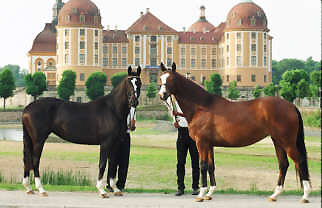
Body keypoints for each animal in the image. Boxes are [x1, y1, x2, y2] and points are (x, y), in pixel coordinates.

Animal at [23, 66, 142, 197]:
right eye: (128, 83)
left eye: (139, 83)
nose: (134, 102)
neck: (112, 109)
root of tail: (27, 109)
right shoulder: (105, 143)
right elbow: (102, 164)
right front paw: (101, 191)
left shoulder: (115, 143)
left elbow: (112, 164)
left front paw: (115, 189)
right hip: (38, 140)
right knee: (35, 160)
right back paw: (41, 189)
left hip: (30, 139)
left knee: (27, 160)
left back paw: (29, 188)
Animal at [158, 63, 310, 203]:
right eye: (161, 78)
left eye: (171, 79)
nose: (161, 95)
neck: (201, 106)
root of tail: (291, 106)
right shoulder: (209, 145)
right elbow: (211, 166)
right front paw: (209, 193)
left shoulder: (202, 143)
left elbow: (203, 165)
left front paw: (201, 194)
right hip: (277, 141)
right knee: (283, 164)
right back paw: (274, 195)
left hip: (287, 142)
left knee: (300, 161)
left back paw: (305, 196)